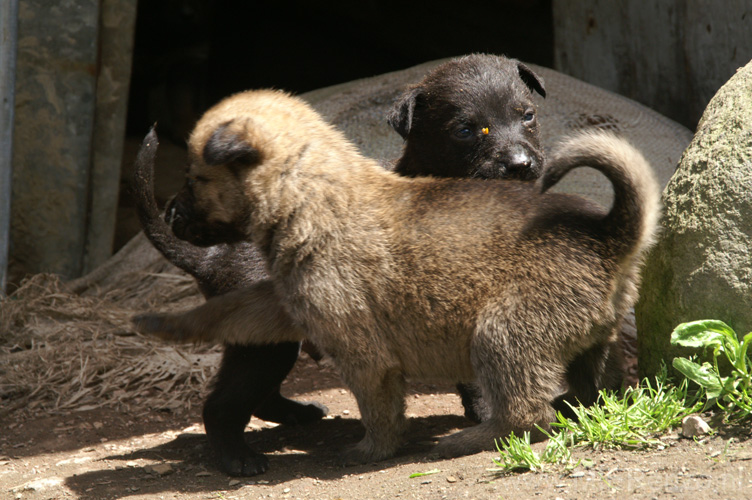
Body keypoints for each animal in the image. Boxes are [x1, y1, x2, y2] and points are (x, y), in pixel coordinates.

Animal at [134, 88, 656, 462]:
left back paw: (468, 439)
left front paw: (370, 451)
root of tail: (610, 234)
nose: (174, 213)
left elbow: (379, 410)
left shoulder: (363, 354)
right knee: (594, 386)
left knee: (525, 411)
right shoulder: (279, 305)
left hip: (502, 333)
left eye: (194, 178)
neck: (310, 194)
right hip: (586, 338)